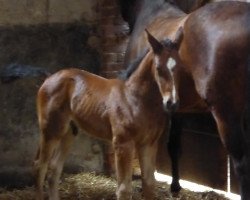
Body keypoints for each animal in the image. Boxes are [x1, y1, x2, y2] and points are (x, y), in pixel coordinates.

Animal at [33, 30, 183, 200]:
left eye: (180, 66)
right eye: (158, 68)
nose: (172, 103)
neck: (135, 98)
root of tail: (49, 78)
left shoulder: (149, 144)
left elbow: (149, 185)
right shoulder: (123, 143)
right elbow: (124, 189)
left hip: (69, 131)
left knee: (54, 167)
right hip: (51, 130)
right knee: (40, 165)